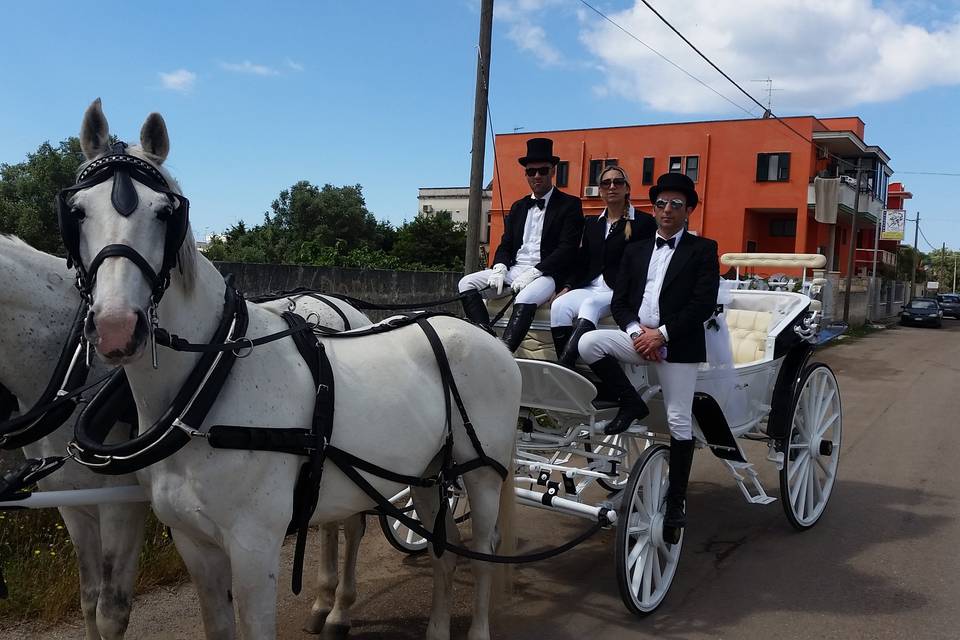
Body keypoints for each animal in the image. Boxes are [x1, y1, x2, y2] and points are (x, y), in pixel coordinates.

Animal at [69, 97, 516, 636]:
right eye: (76, 211)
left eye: (163, 213)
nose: (117, 328)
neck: (208, 386)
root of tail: (487, 336)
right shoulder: (195, 544)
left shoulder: (253, 546)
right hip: (430, 474)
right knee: (443, 551)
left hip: (483, 474)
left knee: (486, 548)